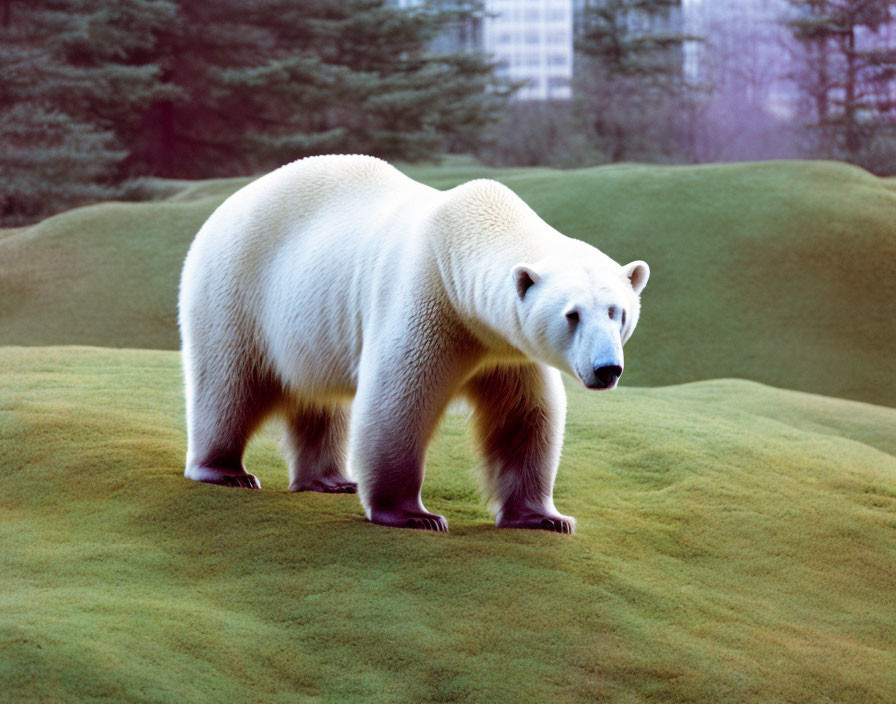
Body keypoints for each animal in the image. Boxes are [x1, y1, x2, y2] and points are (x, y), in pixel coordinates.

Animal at [178, 155, 648, 532]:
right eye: (572, 315)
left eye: (617, 312)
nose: (607, 369)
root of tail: (223, 209)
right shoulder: (428, 300)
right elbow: (398, 404)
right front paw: (414, 515)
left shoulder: (507, 349)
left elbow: (525, 416)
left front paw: (545, 517)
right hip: (236, 289)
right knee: (228, 383)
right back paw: (226, 471)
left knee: (319, 401)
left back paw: (330, 480)